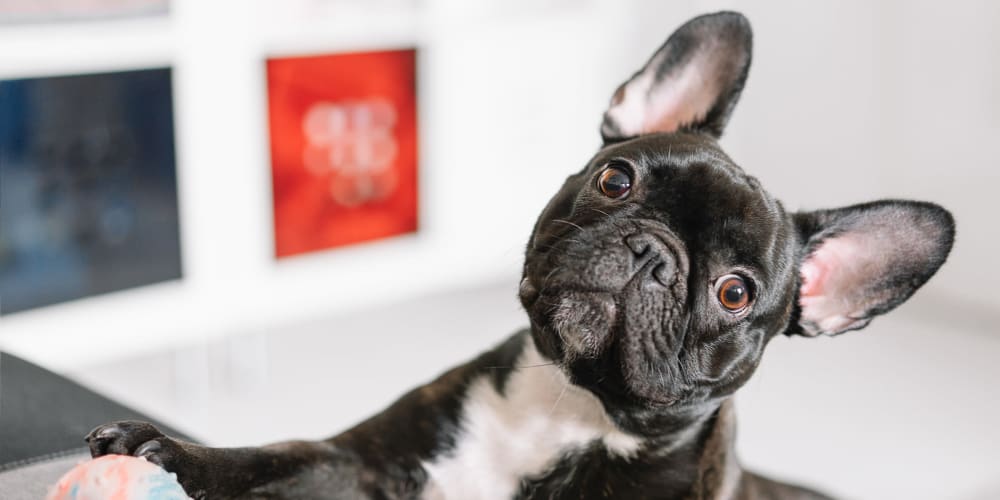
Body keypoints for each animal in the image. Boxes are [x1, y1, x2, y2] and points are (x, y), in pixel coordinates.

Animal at [84, 11, 952, 500]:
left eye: (735, 293)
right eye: (616, 178)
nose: (652, 252)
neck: (567, 410)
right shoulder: (355, 465)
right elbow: (269, 459)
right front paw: (166, 452)